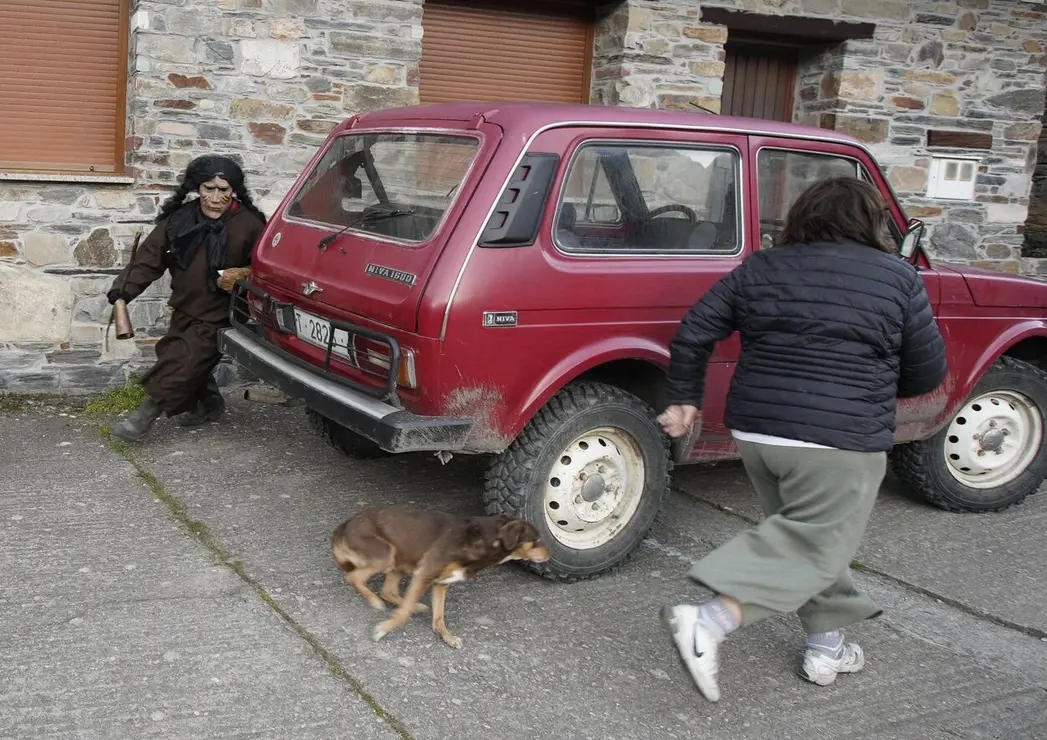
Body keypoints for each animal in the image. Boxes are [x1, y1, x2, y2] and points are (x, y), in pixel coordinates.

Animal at [330, 508, 552, 648]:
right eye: (536, 541)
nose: (550, 555)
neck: (487, 538)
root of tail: (340, 529)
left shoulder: (440, 583)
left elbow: (439, 616)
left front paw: (447, 636)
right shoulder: (425, 574)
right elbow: (403, 614)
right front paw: (383, 629)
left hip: (400, 557)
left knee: (389, 591)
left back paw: (415, 605)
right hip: (387, 554)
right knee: (354, 578)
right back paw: (376, 601)